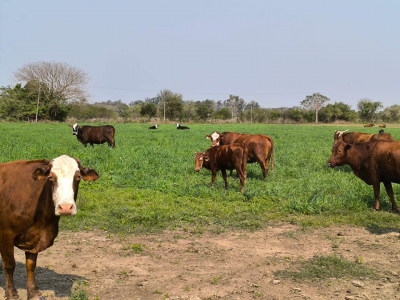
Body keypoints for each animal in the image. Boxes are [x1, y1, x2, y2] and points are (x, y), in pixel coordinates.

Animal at [0, 156, 98, 300]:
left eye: (78, 177)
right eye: (51, 177)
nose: (65, 207)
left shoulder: (35, 236)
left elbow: (31, 265)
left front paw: (34, 292)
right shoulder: (6, 234)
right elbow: (9, 265)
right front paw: (11, 293)